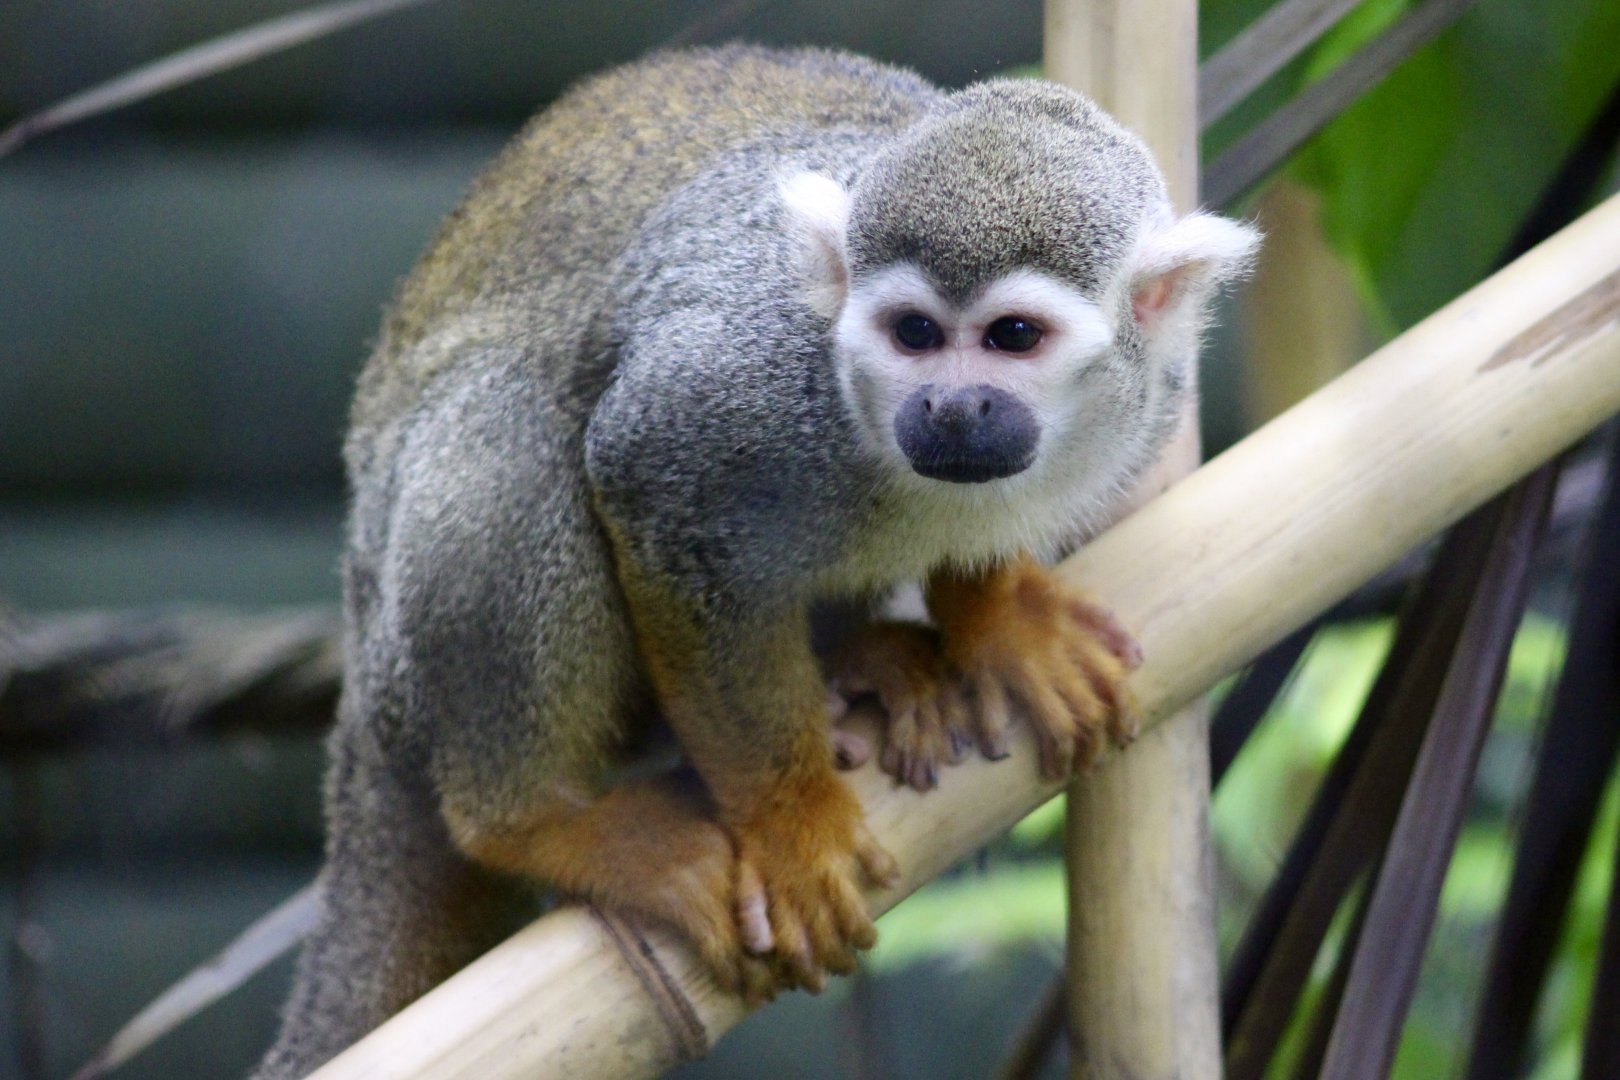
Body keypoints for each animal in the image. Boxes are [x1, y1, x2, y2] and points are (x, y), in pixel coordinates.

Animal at [252, 44, 1258, 1078]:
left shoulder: (1154, 395)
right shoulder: (754, 380)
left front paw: (1001, 619)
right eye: (913, 333)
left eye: (1013, 336)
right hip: (404, 652)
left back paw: (864, 661)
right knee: (512, 421)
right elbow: (645, 475)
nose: (950, 408)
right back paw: (535, 820)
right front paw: (791, 825)